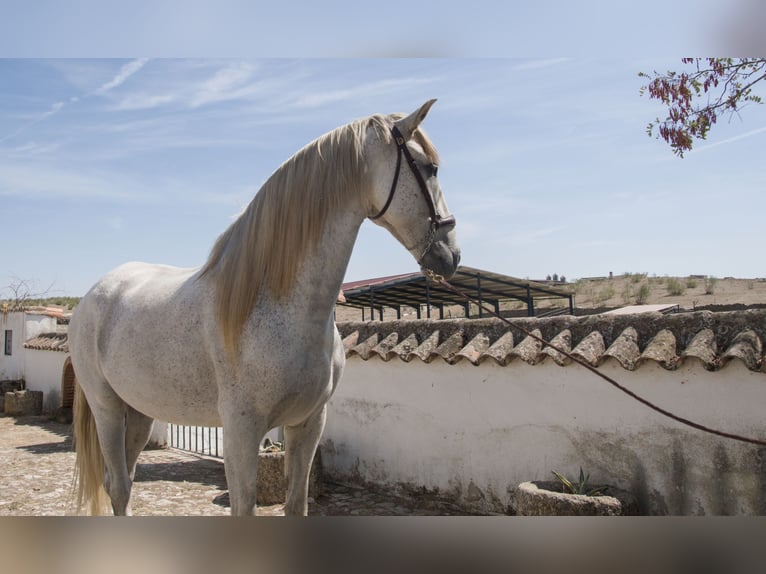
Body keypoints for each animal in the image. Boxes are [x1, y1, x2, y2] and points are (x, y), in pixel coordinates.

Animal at [69, 99, 461, 516]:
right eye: (430, 168)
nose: (451, 254)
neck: (275, 304)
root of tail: (91, 297)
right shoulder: (241, 430)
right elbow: (245, 507)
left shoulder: (308, 423)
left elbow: (296, 504)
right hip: (108, 408)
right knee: (118, 484)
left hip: (140, 411)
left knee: (124, 482)